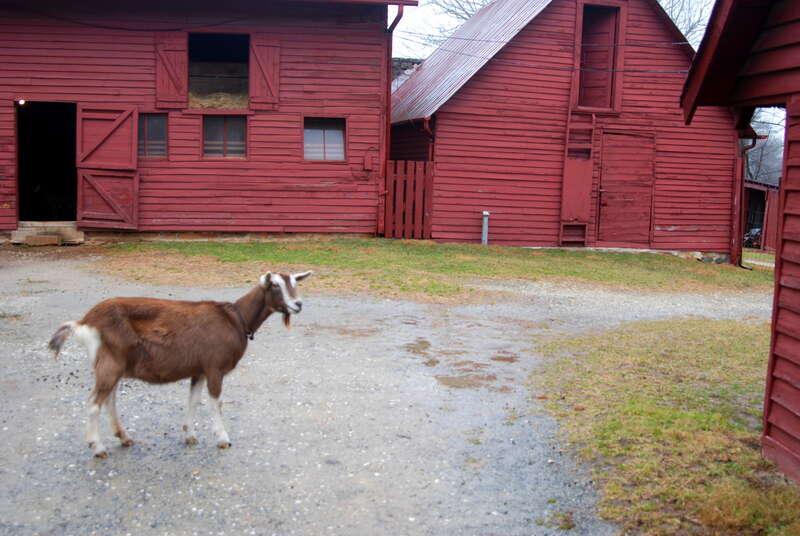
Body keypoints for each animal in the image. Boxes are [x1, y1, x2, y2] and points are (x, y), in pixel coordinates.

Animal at [48, 271, 312, 458]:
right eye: (275, 285)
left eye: (294, 283)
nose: (298, 305)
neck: (237, 318)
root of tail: (84, 322)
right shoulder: (214, 367)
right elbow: (216, 403)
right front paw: (223, 439)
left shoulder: (199, 370)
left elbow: (193, 401)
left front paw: (190, 435)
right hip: (110, 362)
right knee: (94, 403)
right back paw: (97, 447)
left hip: (114, 364)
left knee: (109, 400)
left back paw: (123, 437)